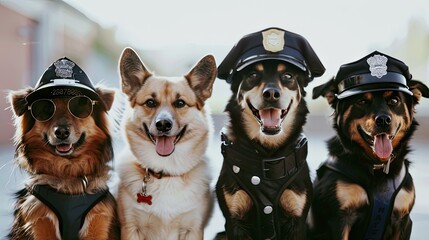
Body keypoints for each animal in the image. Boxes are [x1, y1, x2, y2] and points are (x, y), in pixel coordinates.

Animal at [7, 57, 120, 239]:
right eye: (45, 109)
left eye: (80, 106)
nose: (61, 132)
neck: (67, 172)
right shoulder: (40, 218)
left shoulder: (98, 219)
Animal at [214, 27, 324, 239]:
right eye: (252, 75)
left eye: (288, 76)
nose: (271, 94)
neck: (267, 153)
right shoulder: (235, 220)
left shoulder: (296, 218)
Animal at [308, 51, 428, 240]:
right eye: (362, 101)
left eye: (394, 100)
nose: (383, 120)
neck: (376, 167)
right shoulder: (340, 220)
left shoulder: (402, 219)